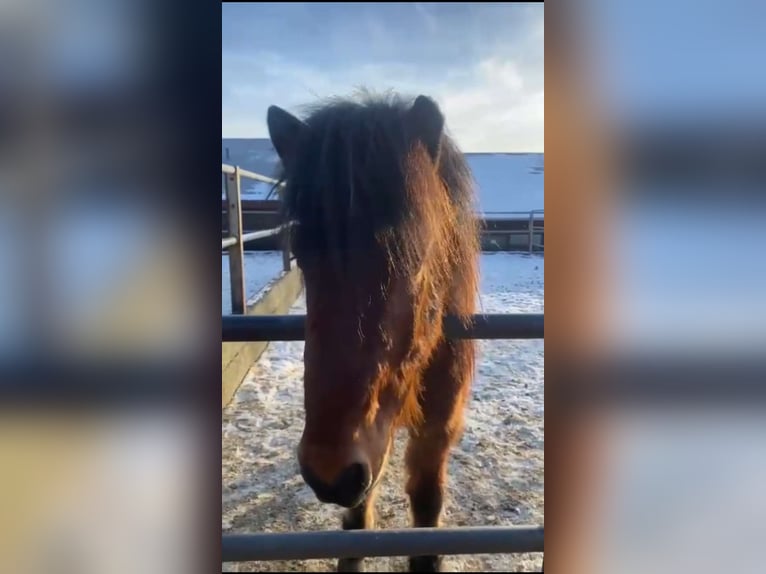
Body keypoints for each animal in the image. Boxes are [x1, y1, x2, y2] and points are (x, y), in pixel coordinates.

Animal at [266, 91, 480, 572]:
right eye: (301, 253)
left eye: (415, 257)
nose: (328, 471)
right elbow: (358, 521)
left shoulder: (436, 433)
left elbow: (426, 507)